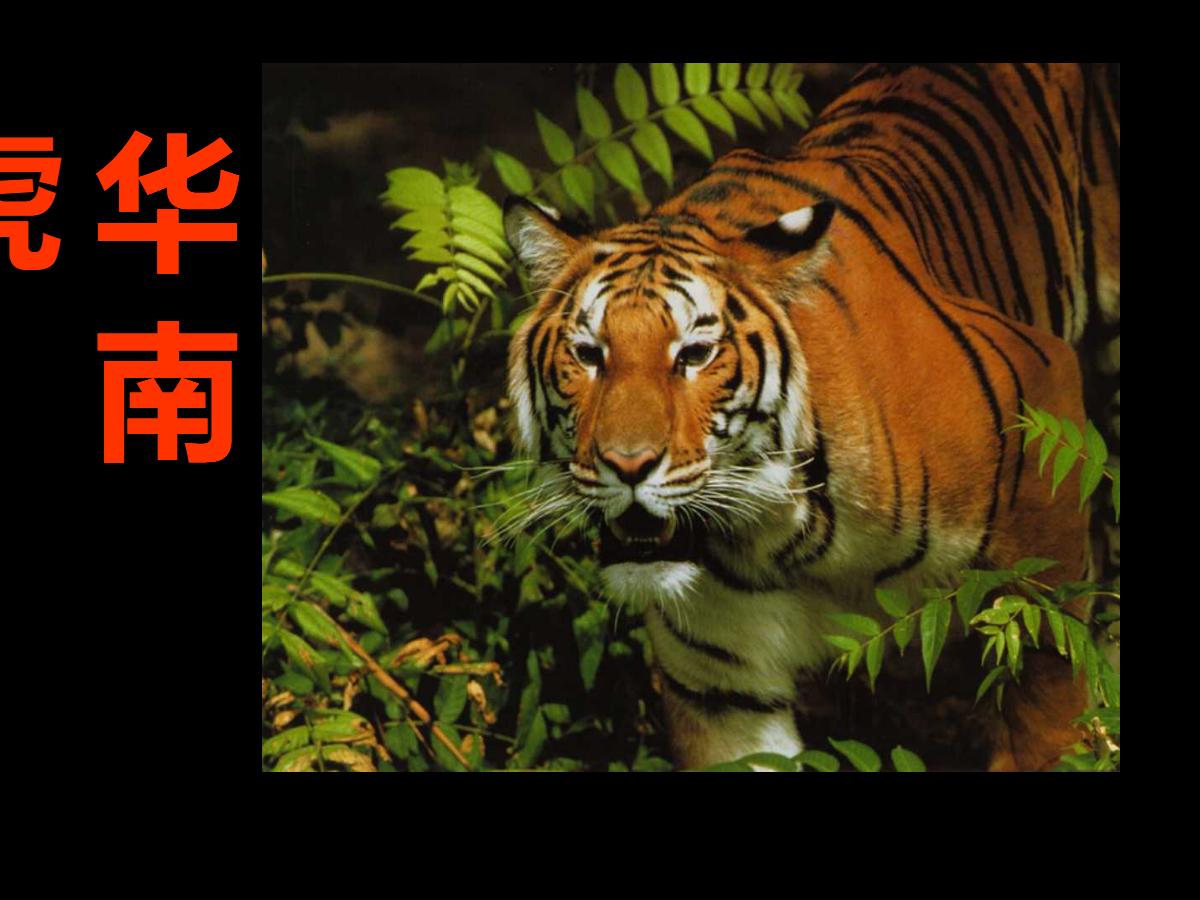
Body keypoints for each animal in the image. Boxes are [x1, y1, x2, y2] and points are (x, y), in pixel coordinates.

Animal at [503, 63, 1120, 771]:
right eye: (588, 354)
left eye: (694, 354)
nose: (627, 465)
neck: (785, 537)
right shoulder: (725, 693)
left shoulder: (1044, 441)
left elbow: (1049, 699)